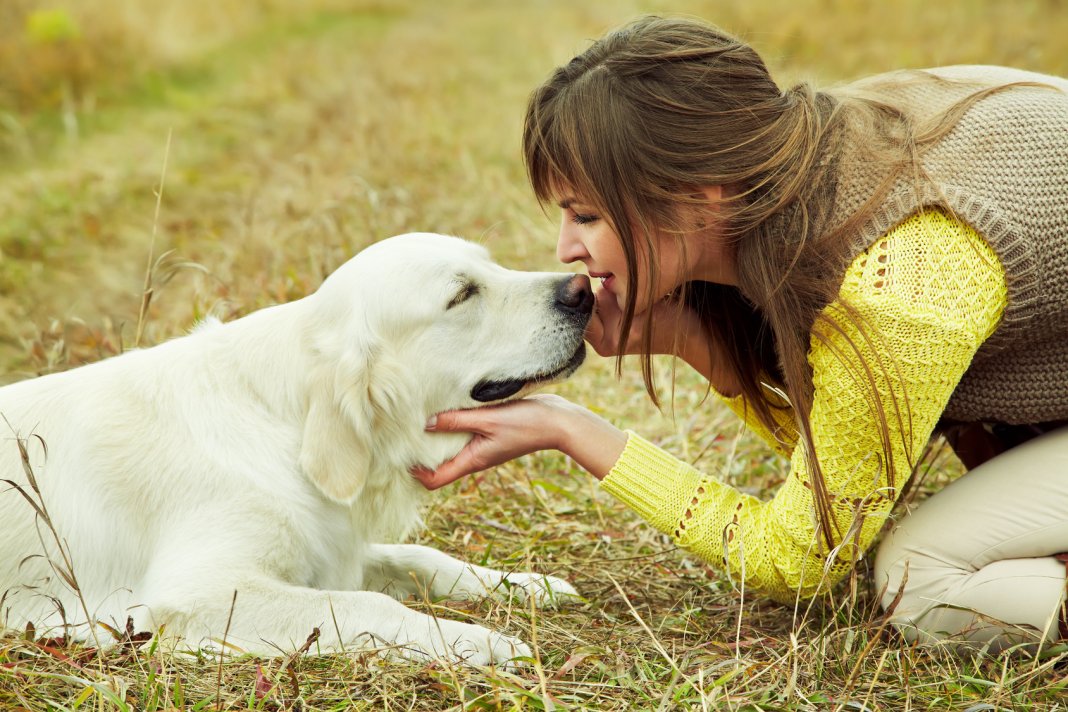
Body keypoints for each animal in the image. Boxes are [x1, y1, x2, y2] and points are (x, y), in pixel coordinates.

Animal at [0, 232, 593, 661]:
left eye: (490, 267)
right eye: (461, 294)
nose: (584, 288)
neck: (284, 423)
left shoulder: (331, 547)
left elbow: (420, 558)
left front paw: (525, 585)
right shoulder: (195, 593)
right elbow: (371, 605)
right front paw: (482, 642)